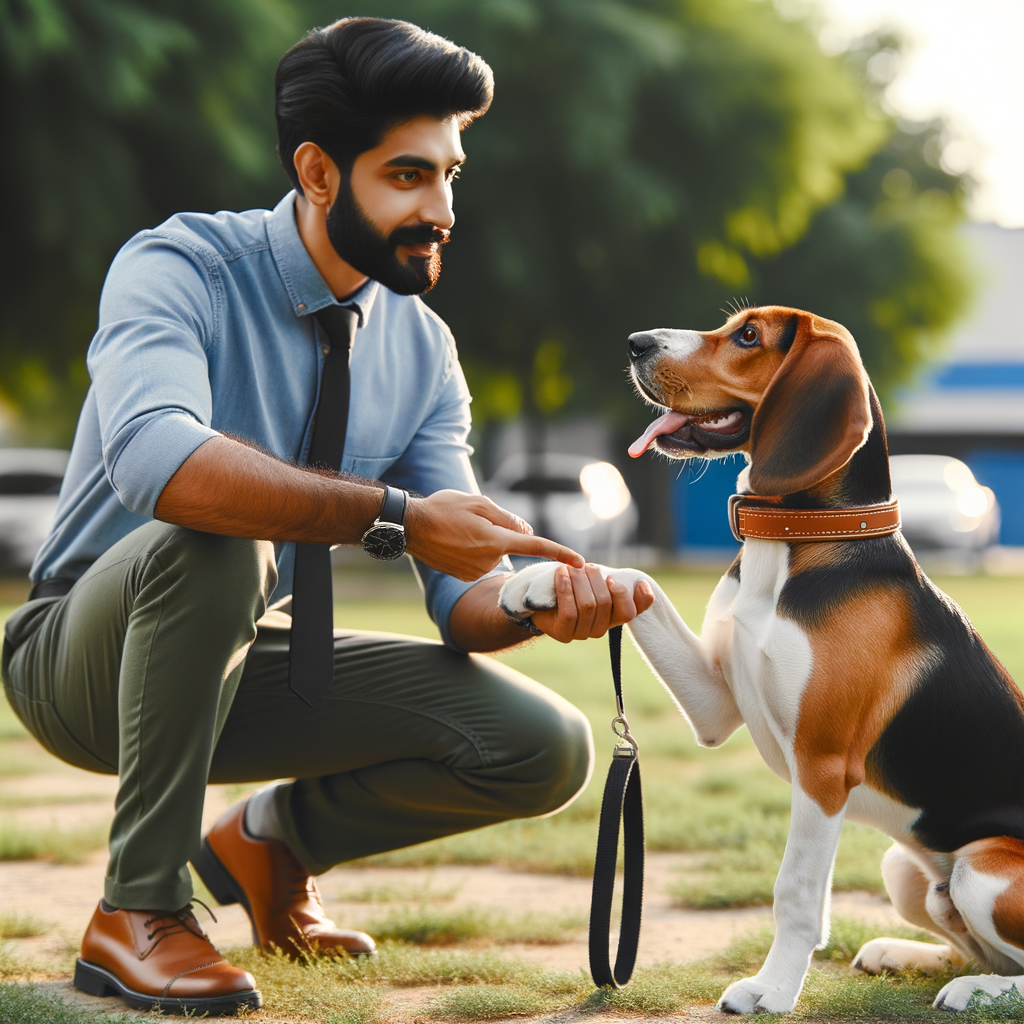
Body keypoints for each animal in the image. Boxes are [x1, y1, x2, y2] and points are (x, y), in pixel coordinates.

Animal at [499, 307, 1024, 1011]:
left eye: (750, 336)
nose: (636, 344)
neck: (798, 539)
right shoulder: (716, 707)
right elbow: (634, 576)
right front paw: (543, 582)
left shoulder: (822, 769)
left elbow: (794, 891)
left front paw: (771, 989)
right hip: (905, 869)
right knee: (980, 948)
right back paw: (906, 955)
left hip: (980, 869)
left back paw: (973, 990)